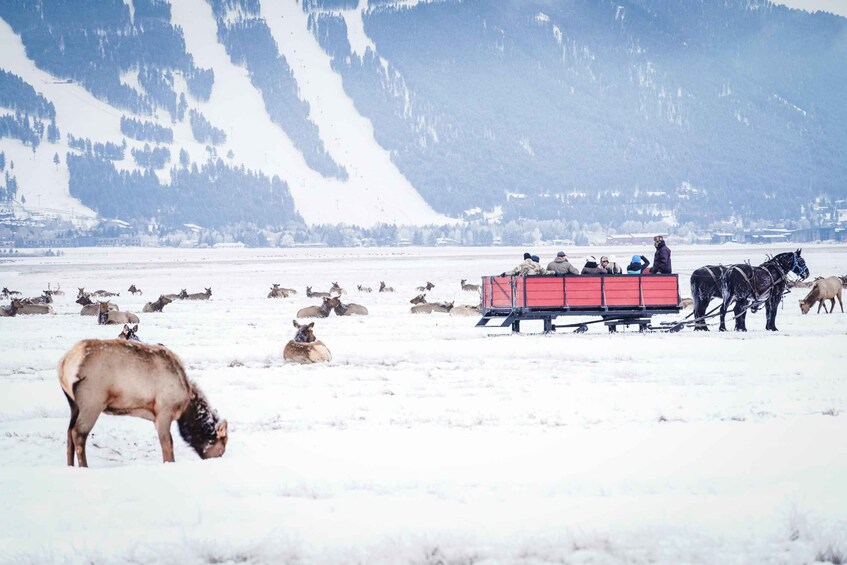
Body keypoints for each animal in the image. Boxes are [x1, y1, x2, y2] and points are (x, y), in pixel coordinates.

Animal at [58, 339, 228, 467]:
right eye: (222, 449)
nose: (218, 460)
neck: (186, 406)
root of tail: (64, 364)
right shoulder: (164, 411)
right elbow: (168, 444)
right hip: (92, 402)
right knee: (78, 433)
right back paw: (84, 466)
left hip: (74, 404)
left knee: (69, 432)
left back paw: (70, 465)